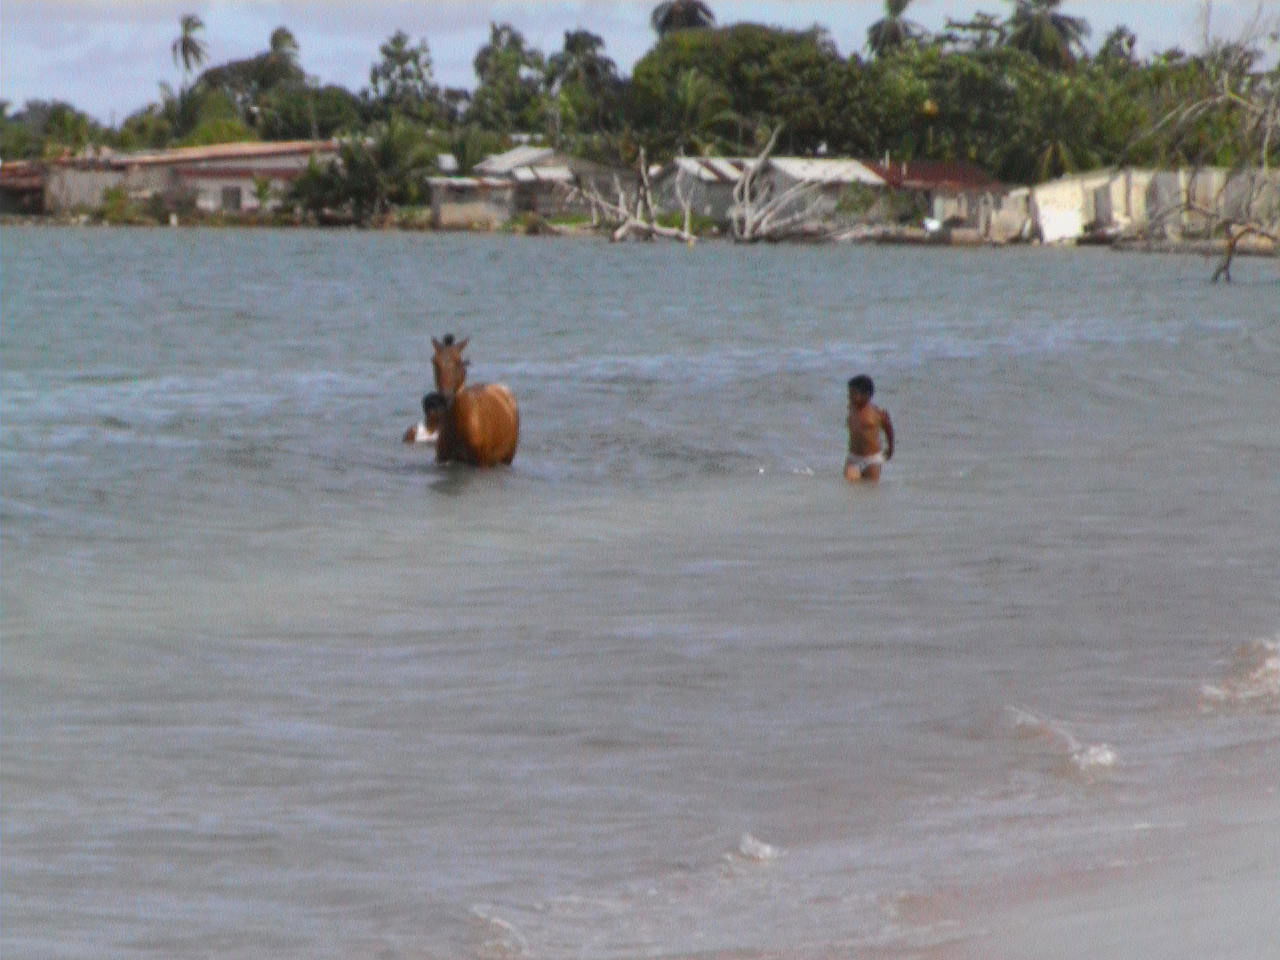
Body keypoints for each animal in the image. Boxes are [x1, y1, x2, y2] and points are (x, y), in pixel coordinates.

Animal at [430, 335, 519, 468]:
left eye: (458, 362)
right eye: (435, 362)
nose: (445, 398)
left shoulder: (482, 462)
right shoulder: (443, 459)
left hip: (507, 458)